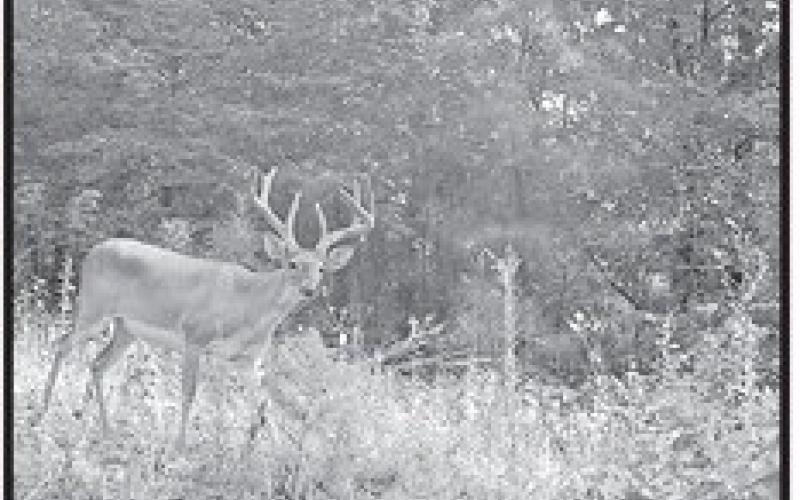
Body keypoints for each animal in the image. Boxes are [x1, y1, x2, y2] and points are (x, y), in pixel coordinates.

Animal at [34, 168, 375, 449]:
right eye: (292, 264)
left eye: (321, 268)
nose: (309, 289)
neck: (249, 307)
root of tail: (93, 252)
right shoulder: (195, 336)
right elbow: (189, 392)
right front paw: (181, 445)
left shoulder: (247, 359)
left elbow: (262, 405)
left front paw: (264, 452)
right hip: (94, 306)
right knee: (62, 345)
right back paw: (43, 413)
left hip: (125, 328)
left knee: (97, 364)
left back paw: (104, 429)